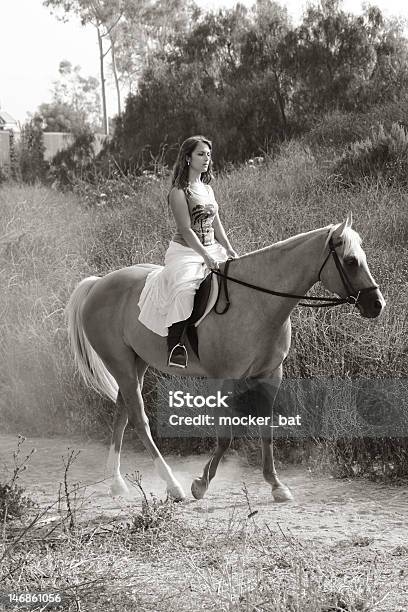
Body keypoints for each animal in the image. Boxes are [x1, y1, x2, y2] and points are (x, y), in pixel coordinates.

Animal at [65, 218, 384, 504]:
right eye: (351, 261)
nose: (377, 305)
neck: (258, 303)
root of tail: (98, 283)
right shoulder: (224, 378)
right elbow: (226, 436)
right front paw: (201, 483)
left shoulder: (271, 375)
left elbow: (267, 429)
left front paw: (276, 485)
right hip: (120, 363)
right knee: (138, 419)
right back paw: (173, 486)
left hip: (136, 362)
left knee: (122, 412)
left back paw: (117, 483)